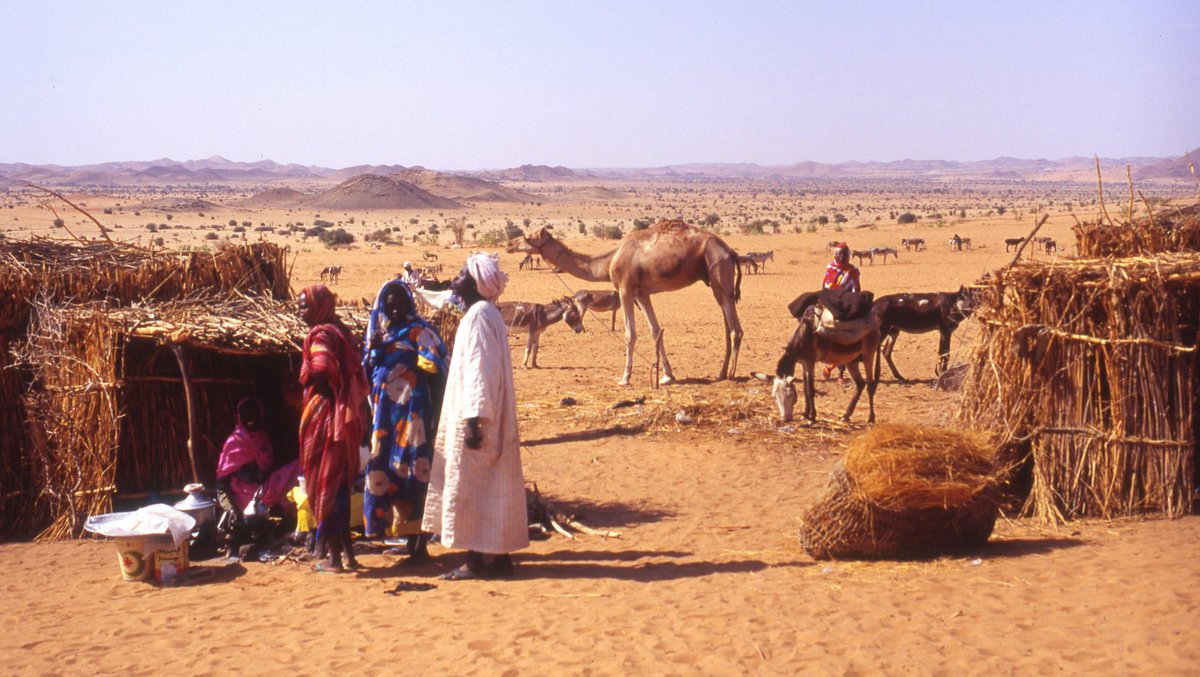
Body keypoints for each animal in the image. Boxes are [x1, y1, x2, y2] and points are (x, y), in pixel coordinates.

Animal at [513, 219, 744, 384]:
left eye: (528, 236)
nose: (509, 244)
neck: (609, 261)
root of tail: (731, 251)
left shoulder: (625, 289)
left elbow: (630, 333)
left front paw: (625, 378)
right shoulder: (642, 293)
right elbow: (655, 330)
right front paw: (667, 376)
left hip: (719, 271)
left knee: (736, 329)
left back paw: (732, 374)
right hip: (714, 281)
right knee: (727, 324)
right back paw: (721, 373)